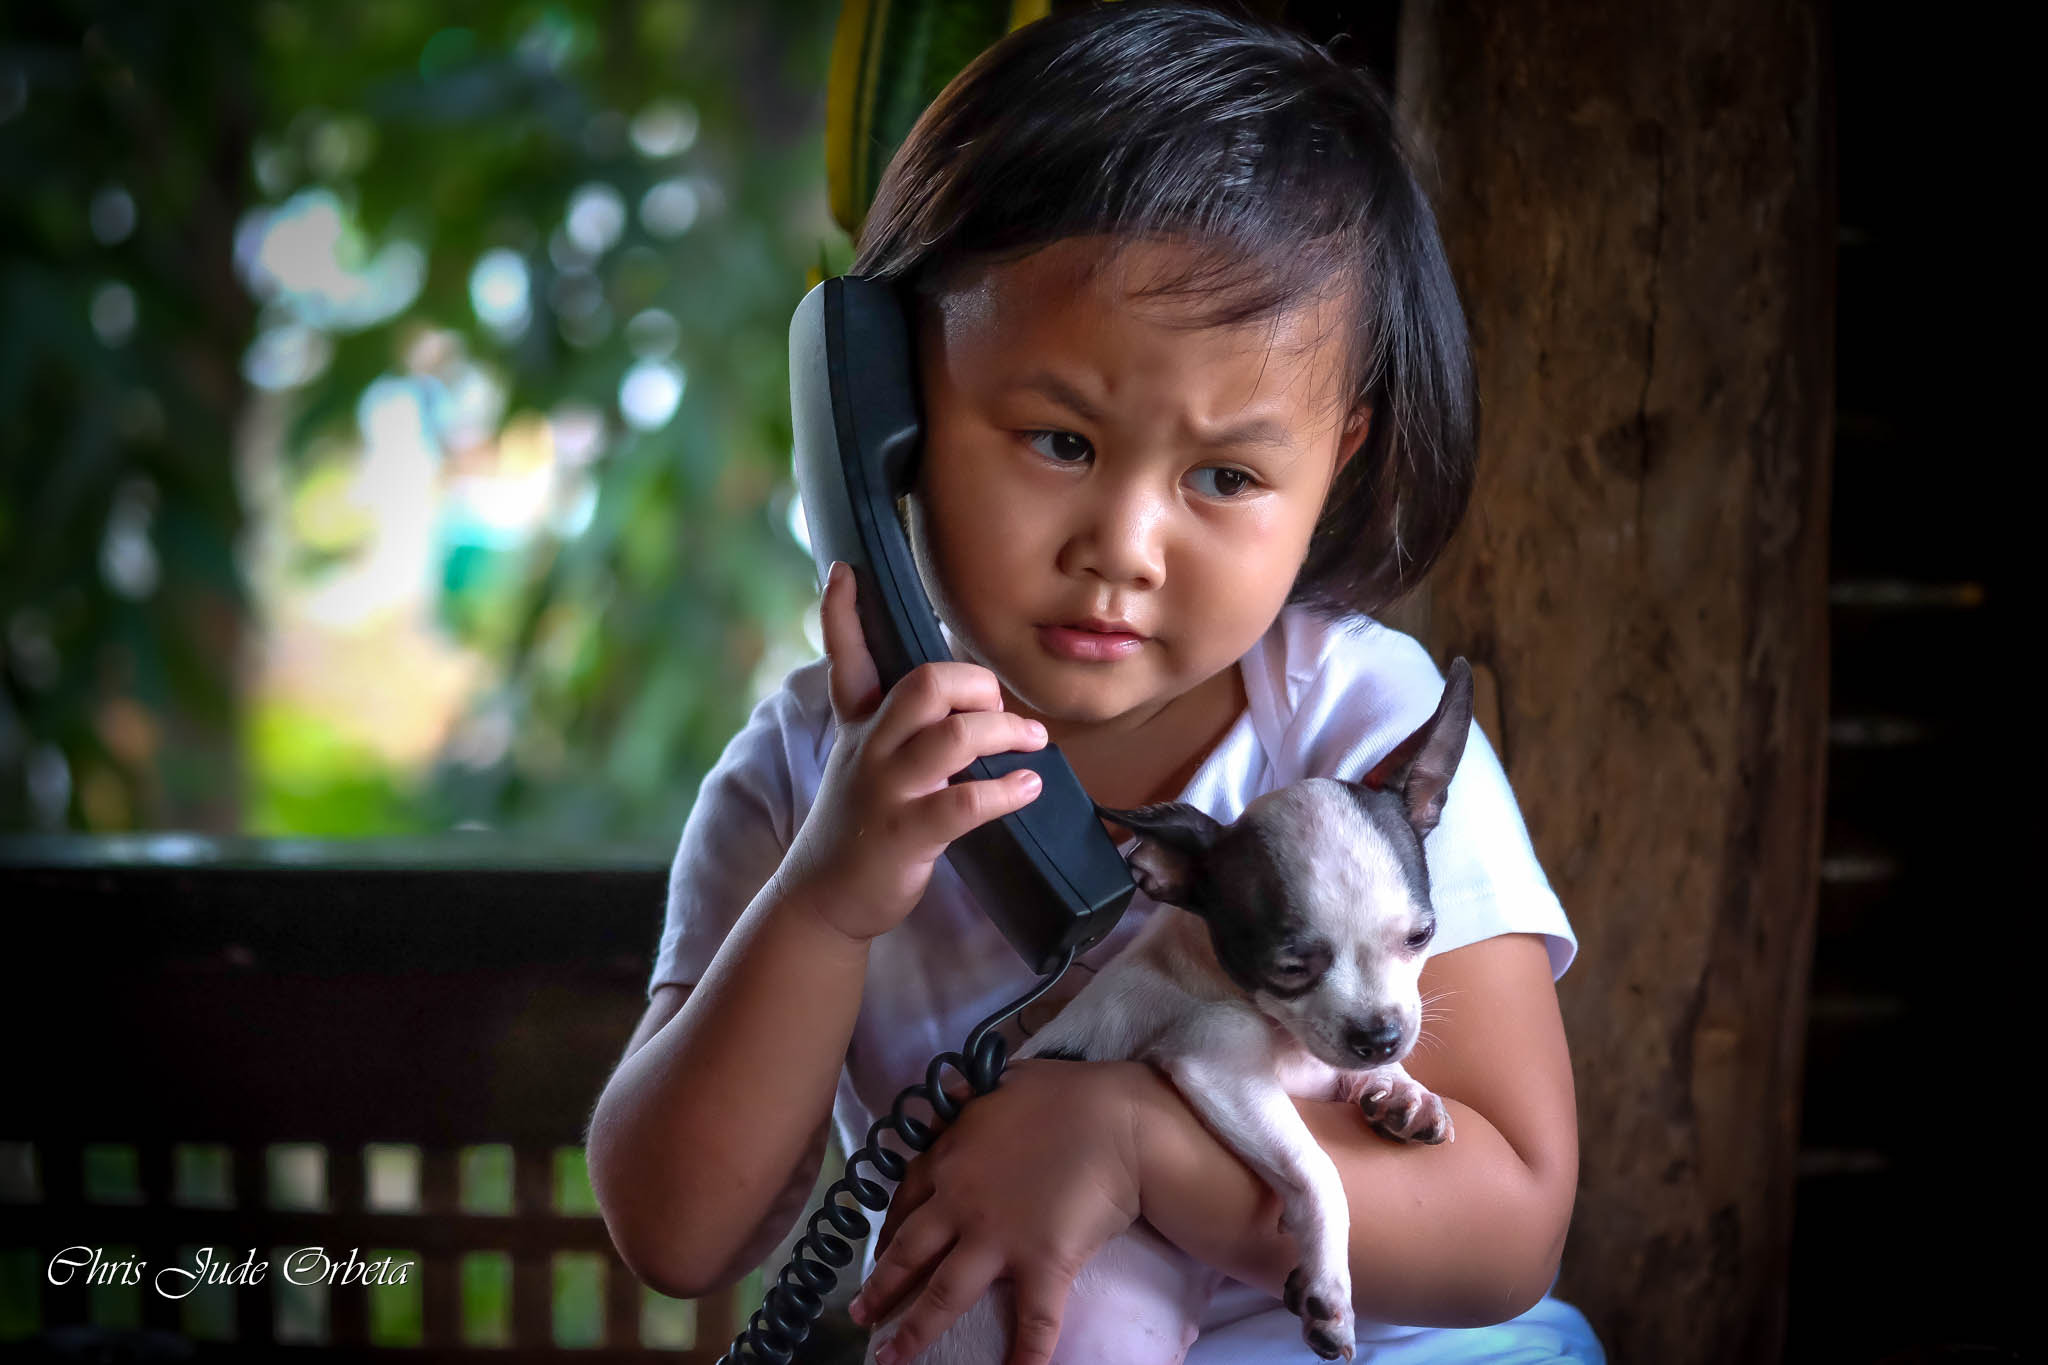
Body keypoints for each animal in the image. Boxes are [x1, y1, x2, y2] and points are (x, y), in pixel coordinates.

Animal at [864, 654, 1474, 1358]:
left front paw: (1404, 1093)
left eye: (1421, 937)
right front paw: (1329, 1289)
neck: (1281, 1031)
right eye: (1290, 967)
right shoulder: (1217, 1068)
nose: (1379, 1035)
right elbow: (1318, 1169)